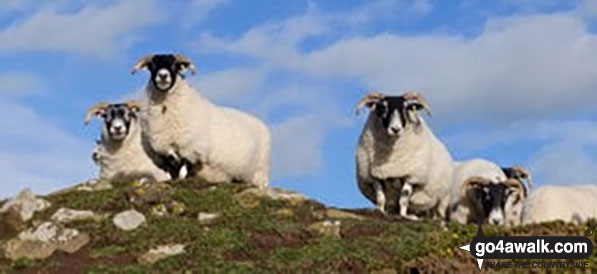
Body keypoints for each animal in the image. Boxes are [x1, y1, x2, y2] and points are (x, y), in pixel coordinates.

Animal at [132, 53, 272, 188]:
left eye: (175, 65)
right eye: (153, 65)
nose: (163, 76)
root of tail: (260, 122)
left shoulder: (191, 148)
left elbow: (183, 171)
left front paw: (181, 181)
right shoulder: (163, 150)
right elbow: (171, 172)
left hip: (260, 172)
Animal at [354, 90, 452, 220]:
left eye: (406, 108)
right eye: (383, 107)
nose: (395, 129)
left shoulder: (412, 177)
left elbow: (403, 200)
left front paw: (404, 216)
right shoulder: (375, 177)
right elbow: (381, 198)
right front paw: (380, 212)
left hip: (441, 199)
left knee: (437, 211)